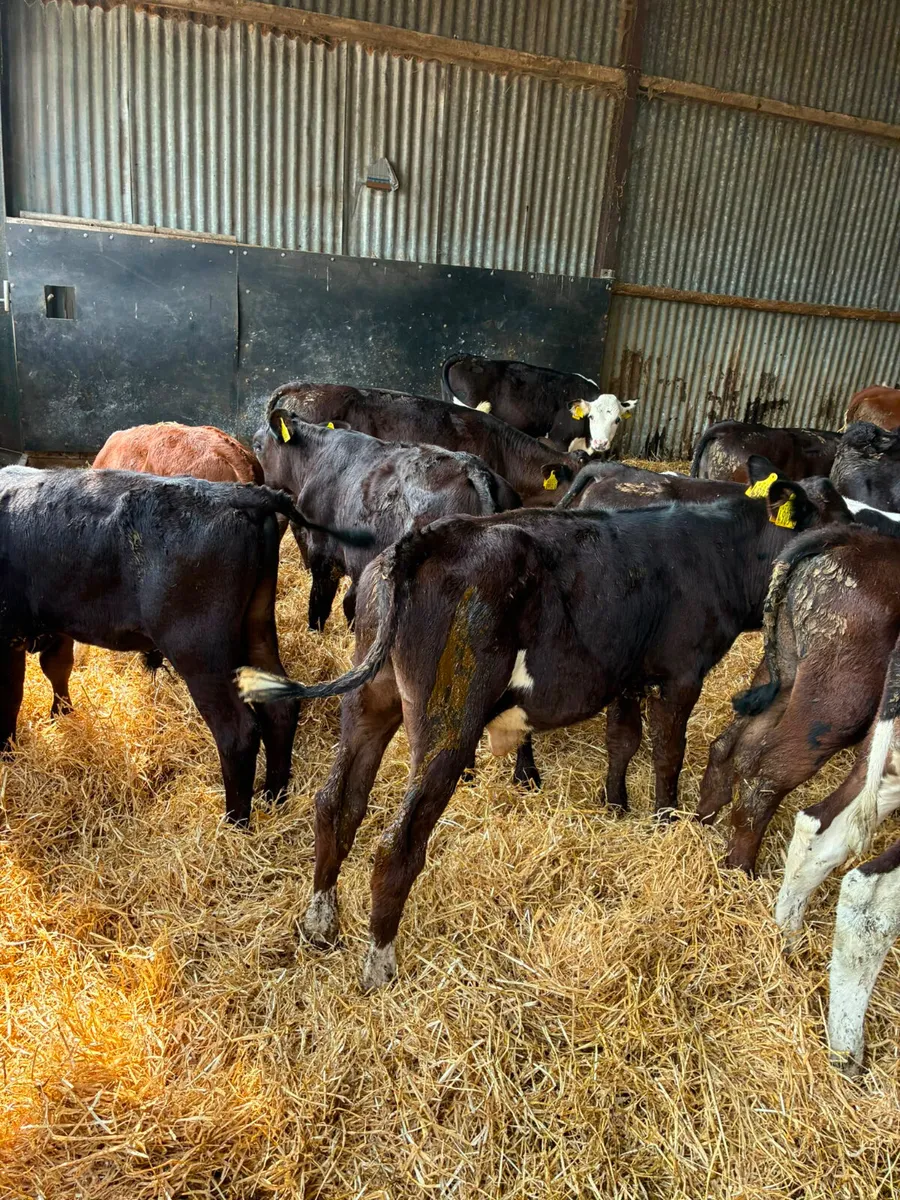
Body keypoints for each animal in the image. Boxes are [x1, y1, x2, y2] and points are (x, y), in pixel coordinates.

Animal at [0, 467, 370, 826]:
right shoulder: (54, 623)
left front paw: (6, 751)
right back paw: (274, 796)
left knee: (237, 730)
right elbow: (57, 668)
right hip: (256, 625)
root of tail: (242, 494)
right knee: (279, 707)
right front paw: (61, 717)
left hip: (199, 650)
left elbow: (11, 696)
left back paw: (234, 823)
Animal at [236, 459, 850, 989]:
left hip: (370, 696)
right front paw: (665, 819)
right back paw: (380, 964)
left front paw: (616, 804)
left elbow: (623, 740)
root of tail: (421, 542)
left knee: (336, 802)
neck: (715, 550)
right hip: (448, 718)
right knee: (398, 841)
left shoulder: (625, 672)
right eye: (834, 518)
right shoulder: (679, 673)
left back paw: (319, 922)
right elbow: (667, 752)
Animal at [697, 524, 900, 874]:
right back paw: (740, 868)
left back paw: (700, 821)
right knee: (769, 769)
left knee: (732, 746)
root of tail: (845, 538)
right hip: (841, 699)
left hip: (783, 669)